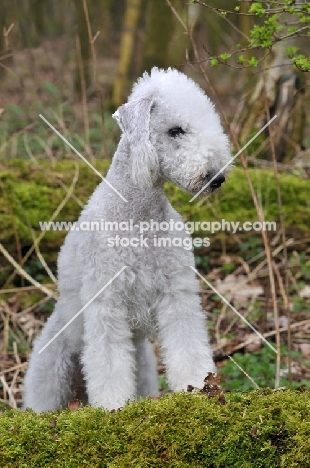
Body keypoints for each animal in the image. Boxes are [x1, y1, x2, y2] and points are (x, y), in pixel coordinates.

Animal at [23, 67, 231, 412]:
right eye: (175, 130)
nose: (217, 178)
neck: (139, 217)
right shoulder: (107, 302)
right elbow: (108, 363)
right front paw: (113, 407)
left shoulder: (176, 293)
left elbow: (187, 344)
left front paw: (198, 388)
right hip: (51, 368)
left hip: (144, 363)